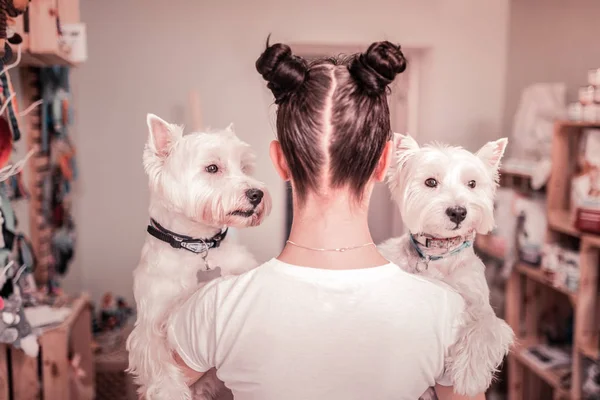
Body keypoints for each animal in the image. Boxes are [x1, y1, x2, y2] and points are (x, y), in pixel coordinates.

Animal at [126, 114, 272, 398]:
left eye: (244, 167)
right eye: (212, 168)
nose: (257, 194)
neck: (197, 244)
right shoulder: (149, 326)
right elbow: (160, 366)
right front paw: (170, 391)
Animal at [382, 134, 512, 396]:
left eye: (472, 184)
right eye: (431, 182)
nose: (458, 212)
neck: (438, 254)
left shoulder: (481, 305)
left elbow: (483, 328)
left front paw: (469, 376)